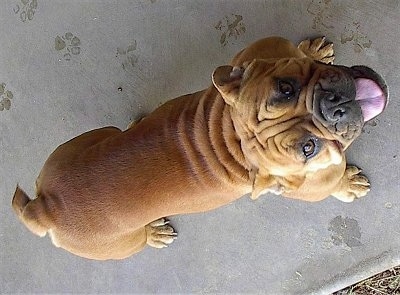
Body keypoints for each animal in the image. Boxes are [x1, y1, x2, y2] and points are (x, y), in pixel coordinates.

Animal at [12, 37, 388, 262]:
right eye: (308, 148)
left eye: (287, 87)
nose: (332, 107)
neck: (232, 134)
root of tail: (46, 209)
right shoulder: (313, 186)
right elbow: (334, 183)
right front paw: (349, 184)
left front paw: (313, 49)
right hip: (120, 245)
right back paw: (155, 233)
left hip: (92, 138)